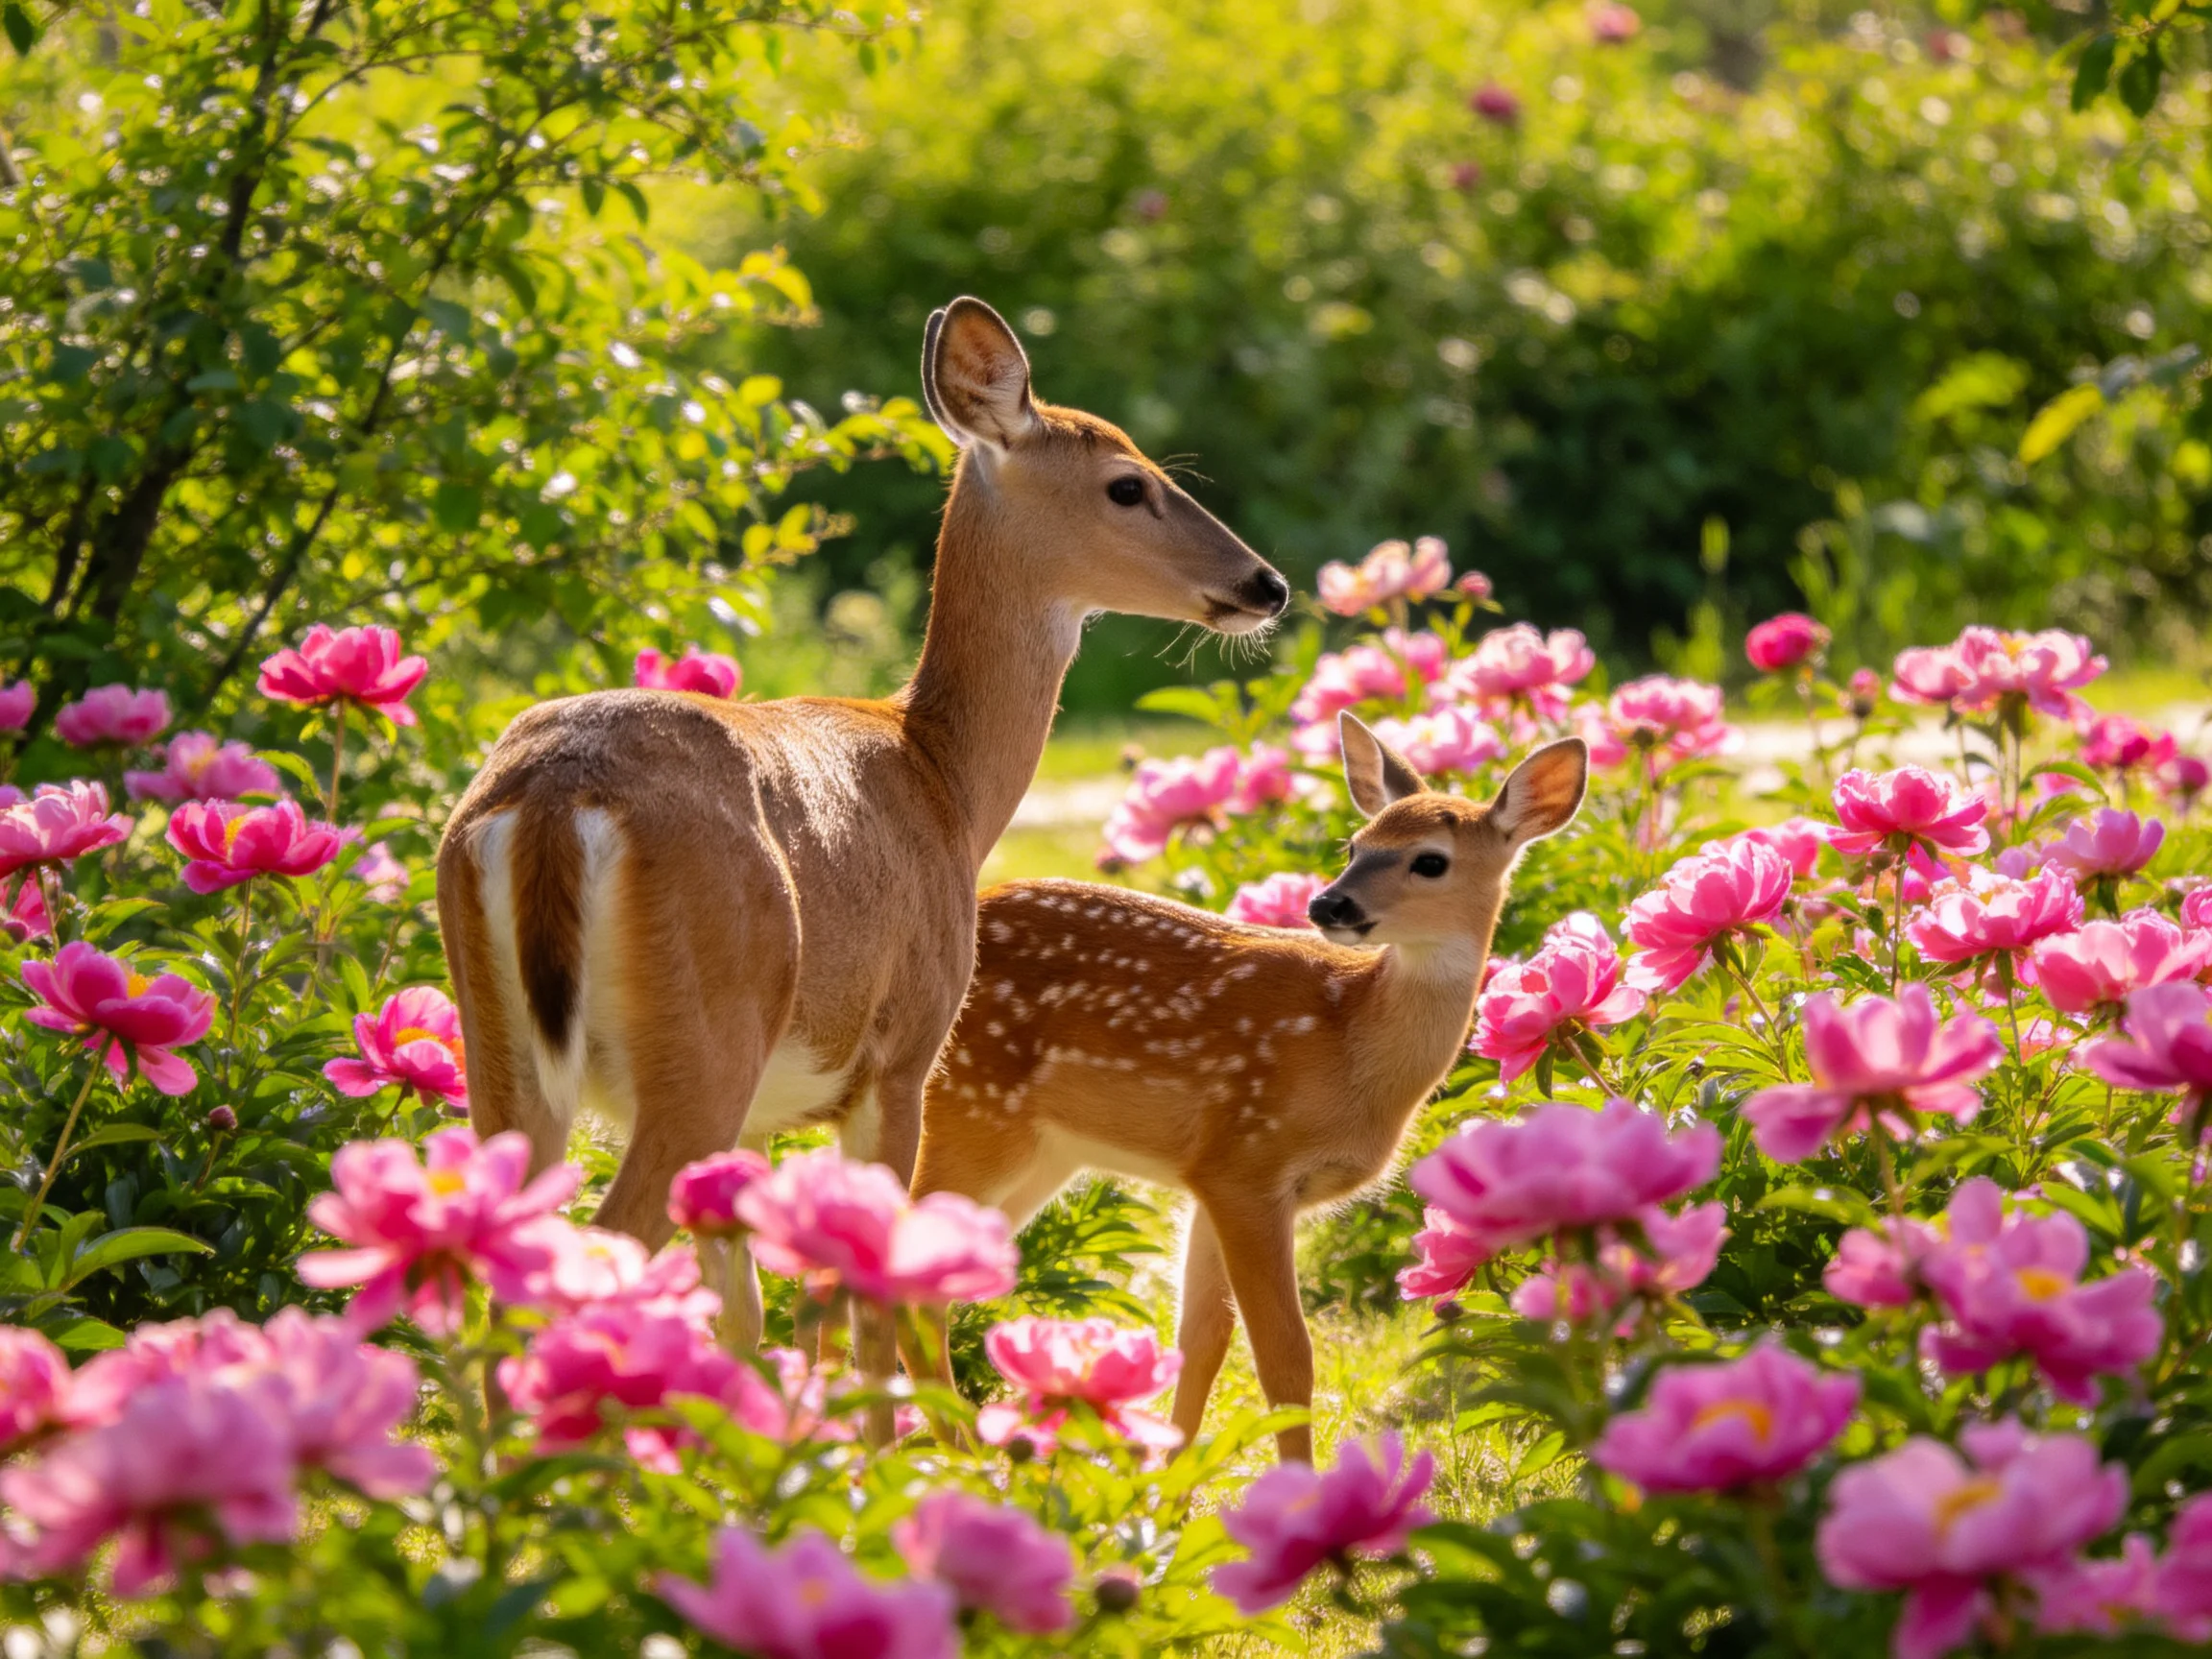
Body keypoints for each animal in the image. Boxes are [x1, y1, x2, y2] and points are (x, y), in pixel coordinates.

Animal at [436, 299, 1288, 1394]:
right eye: (1128, 483)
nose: (1266, 585)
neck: (942, 781)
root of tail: (551, 799)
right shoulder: (900, 1056)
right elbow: (873, 1305)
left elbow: (755, 1313)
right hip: (702, 1047)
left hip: (500, 1053)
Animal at [910, 716, 1587, 1462]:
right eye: (1355, 844)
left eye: (1431, 861)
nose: (1327, 902)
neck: (1350, 1046)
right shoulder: (1250, 1164)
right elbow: (1285, 1356)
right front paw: (1299, 1486)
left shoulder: (1212, 1174)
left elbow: (1202, 1337)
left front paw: (1167, 1481)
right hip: (971, 1111)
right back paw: (956, 1455)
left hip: (1043, 1152)